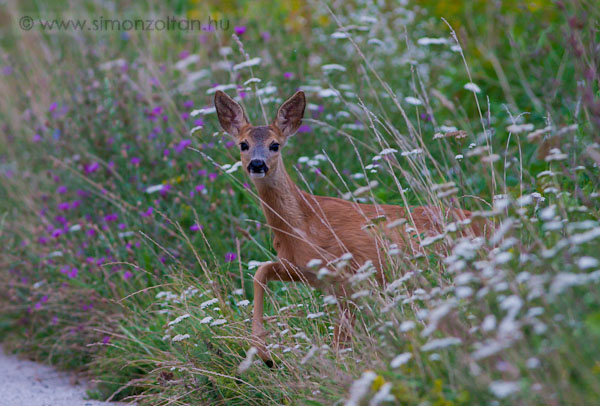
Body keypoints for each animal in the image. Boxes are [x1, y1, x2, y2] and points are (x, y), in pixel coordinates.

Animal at [213, 90, 486, 364]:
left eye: (275, 145)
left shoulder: (349, 272)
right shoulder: (300, 267)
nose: (257, 164)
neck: (304, 225)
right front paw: (262, 351)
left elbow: (340, 341)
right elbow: (261, 271)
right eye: (243, 144)